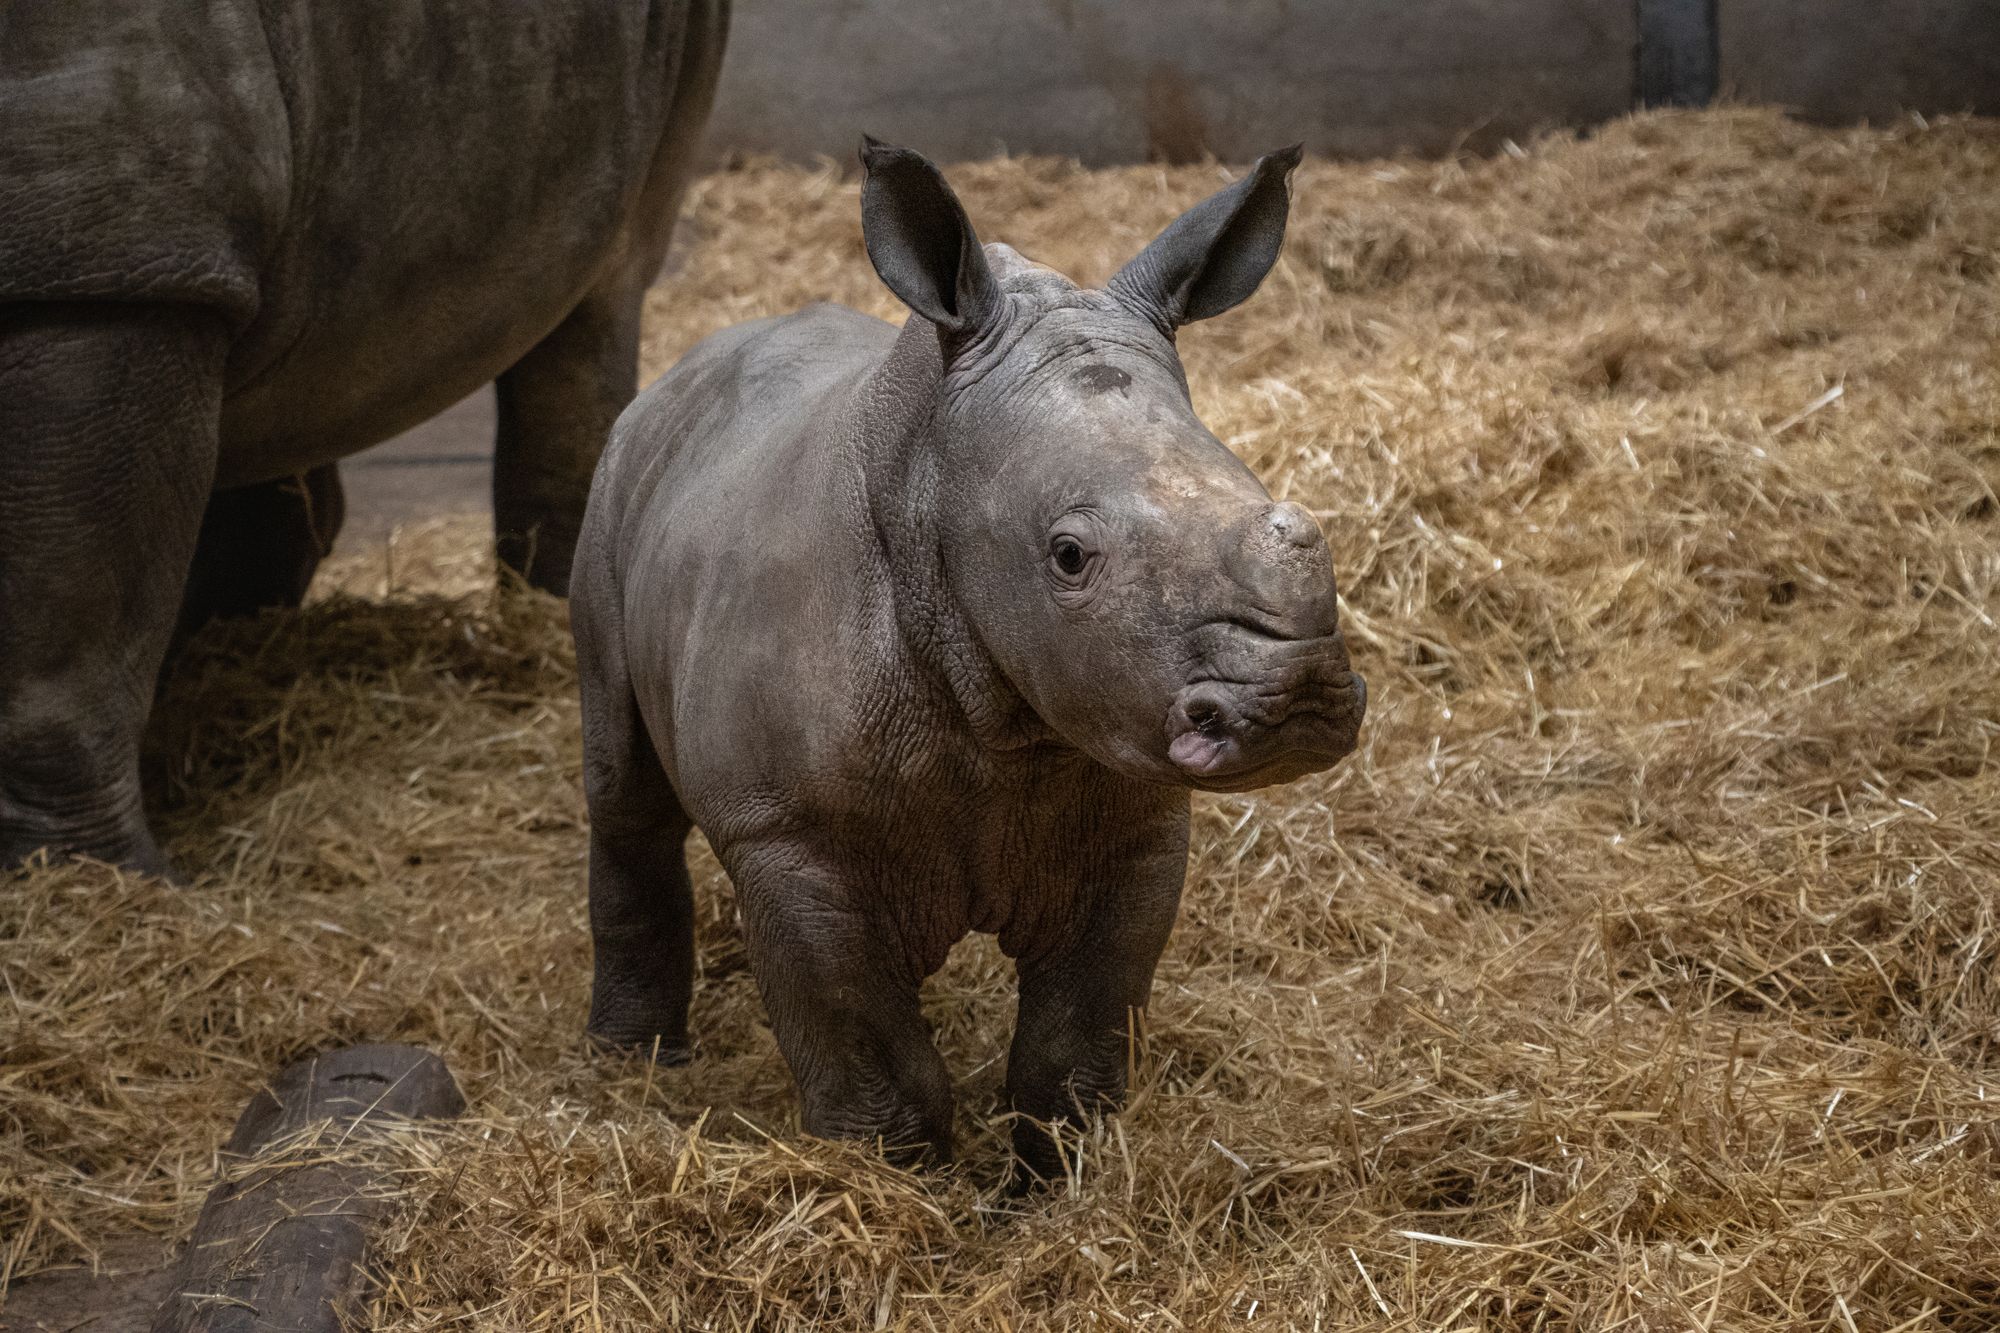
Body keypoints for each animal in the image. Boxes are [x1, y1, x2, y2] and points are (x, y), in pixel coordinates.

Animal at [573, 141, 1367, 1173]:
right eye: (1069, 556)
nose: (1295, 699)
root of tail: (683, 369)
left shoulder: (1136, 818)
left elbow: (1076, 1043)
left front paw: (1055, 1178)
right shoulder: (783, 832)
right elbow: (873, 1060)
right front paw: (890, 1181)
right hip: (615, 481)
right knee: (624, 784)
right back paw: (632, 1063)